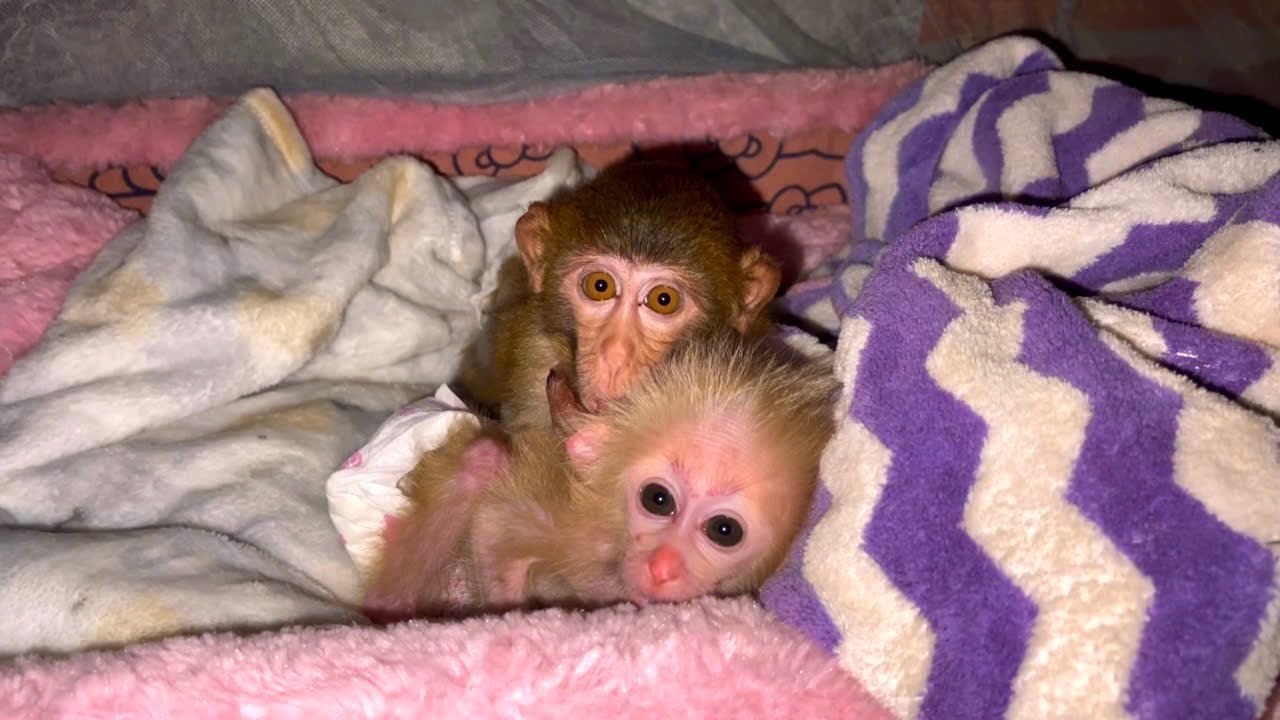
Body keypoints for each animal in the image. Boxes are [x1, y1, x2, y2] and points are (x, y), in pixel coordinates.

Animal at [365, 330, 838, 618]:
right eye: (658, 499)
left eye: (725, 530)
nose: (662, 566)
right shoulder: (581, 529)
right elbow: (494, 524)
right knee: (484, 456)